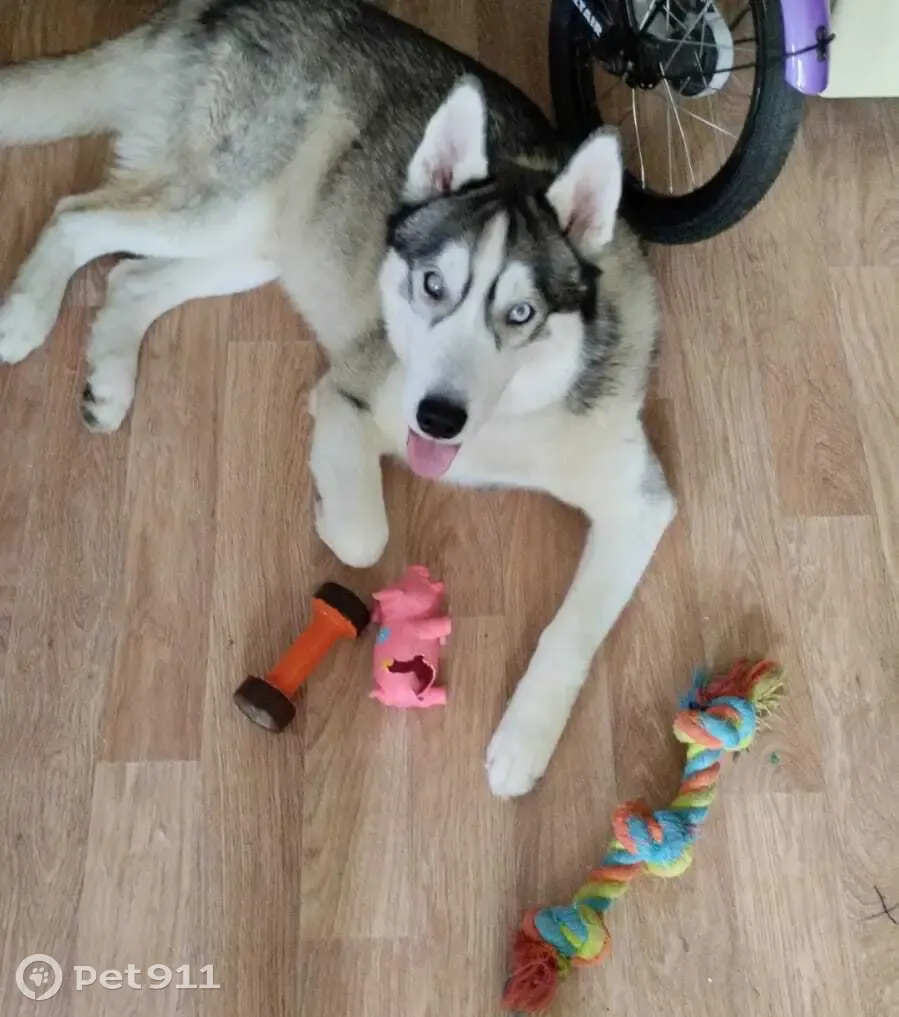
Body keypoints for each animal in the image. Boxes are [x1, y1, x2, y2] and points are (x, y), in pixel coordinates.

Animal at [0, 0, 675, 797]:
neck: (507, 422)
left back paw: (110, 378)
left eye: (521, 314)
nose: (437, 418)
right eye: (432, 285)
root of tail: (229, 6)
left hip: (262, 243)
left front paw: (524, 741)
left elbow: (571, 630)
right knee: (76, 214)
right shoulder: (352, 390)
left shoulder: (640, 503)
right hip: (230, 208)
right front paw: (330, 514)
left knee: (130, 277)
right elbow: (364, 536)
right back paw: (26, 317)